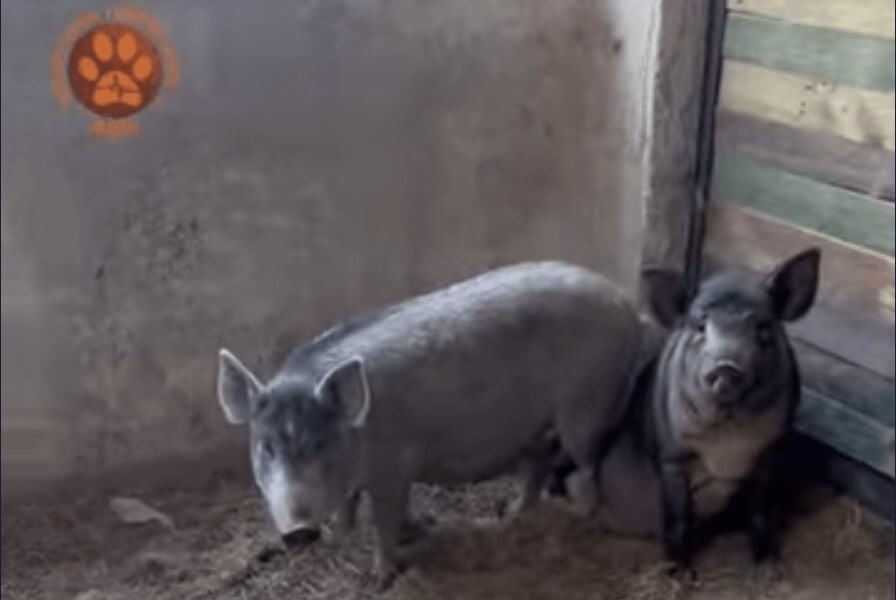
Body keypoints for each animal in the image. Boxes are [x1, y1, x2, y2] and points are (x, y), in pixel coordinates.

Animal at [215, 260, 644, 584]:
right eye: (266, 447)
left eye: (320, 443)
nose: (300, 532)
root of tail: (626, 304)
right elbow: (353, 509)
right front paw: (347, 534)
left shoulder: (392, 471)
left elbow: (384, 524)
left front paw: (381, 577)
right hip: (537, 427)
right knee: (539, 464)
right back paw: (511, 514)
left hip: (587, 406)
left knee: (589, 467)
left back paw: (581, 518)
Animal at [544, 247, 820, 576]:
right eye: (700, 327)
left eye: (763, 328)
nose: (726, 366)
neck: (728, 443)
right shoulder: (670, 457)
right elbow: (678, 517)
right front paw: (682, 574)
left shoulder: (771, 453)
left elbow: (760, 511)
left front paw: (769, 567)